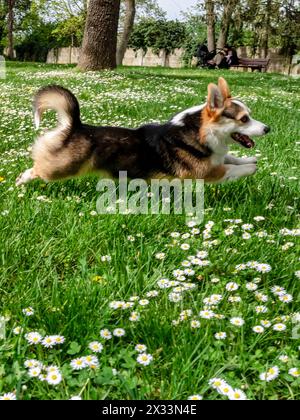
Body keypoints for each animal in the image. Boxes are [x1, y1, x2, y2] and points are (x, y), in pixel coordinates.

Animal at [15, 76, 270, 187]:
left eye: (249, 115)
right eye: (244, 119)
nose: (268, 128)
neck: (201, 132)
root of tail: (74, 126)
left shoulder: (217, 156)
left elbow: (231, 157)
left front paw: (249, 158)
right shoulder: (205, 174)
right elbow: (231, 169)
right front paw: (252, 167)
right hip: (61, 168)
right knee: (37, 169)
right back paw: (20, 182)